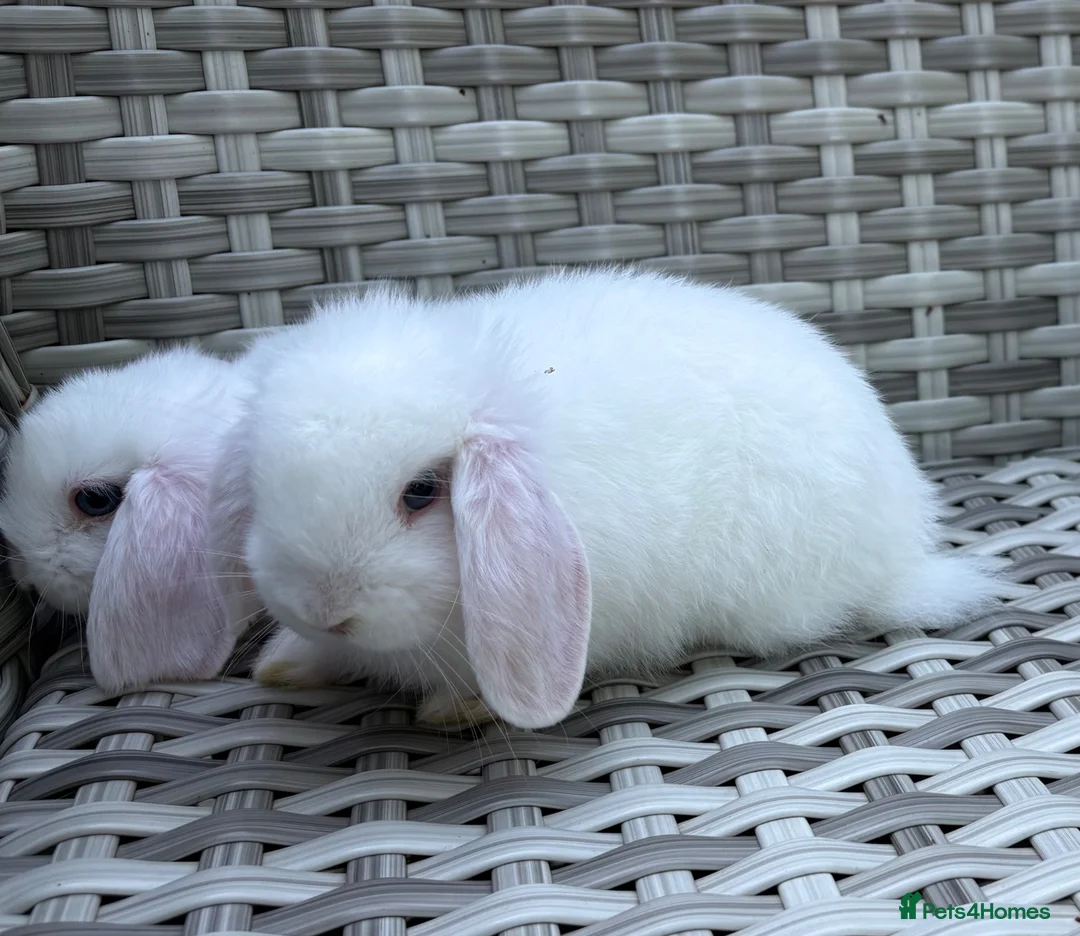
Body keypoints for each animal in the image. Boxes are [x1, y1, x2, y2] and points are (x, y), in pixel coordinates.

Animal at [208, 268, 1001, 731]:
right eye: (265, 487)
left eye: (421, 491)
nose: (324, 609)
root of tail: (900, 549)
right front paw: (287, 666)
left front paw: (452, 710)